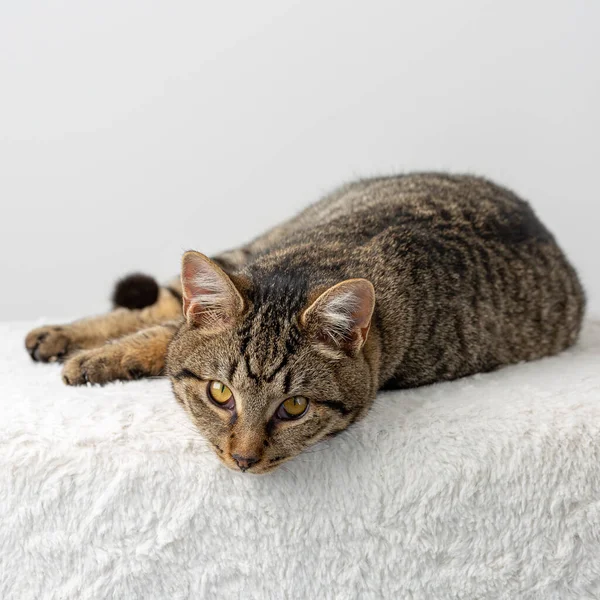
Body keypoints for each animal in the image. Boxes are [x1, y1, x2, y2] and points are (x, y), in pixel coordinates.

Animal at [24, 173, 584, 474]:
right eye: (221, 395)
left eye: (293, 408)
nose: (244, 459)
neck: (307, 268)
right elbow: (160, 328)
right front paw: (94, 351)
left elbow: (161, 339)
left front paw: (98, 358)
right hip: (245, 246)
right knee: (157, 301)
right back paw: (56, 333)